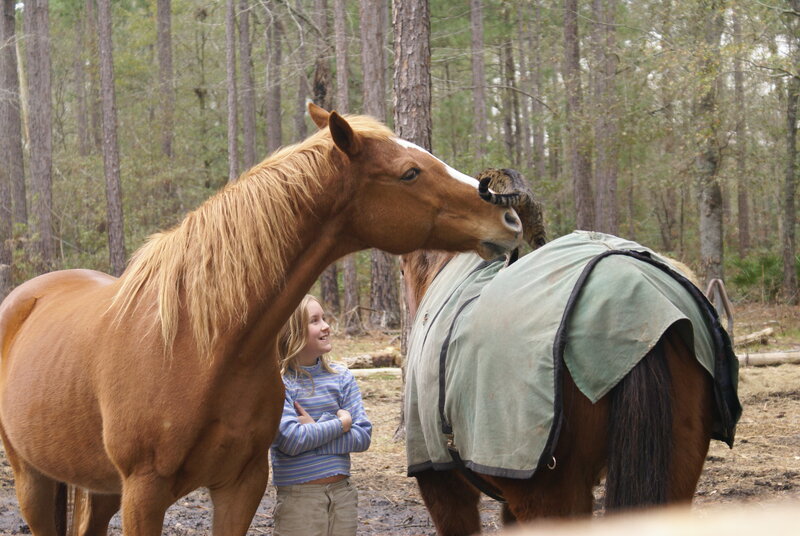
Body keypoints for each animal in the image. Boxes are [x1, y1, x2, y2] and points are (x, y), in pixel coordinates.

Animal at [0, 104, 523, 536]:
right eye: (409, 172)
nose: (510, 220)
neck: (198, 348)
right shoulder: (143, 494)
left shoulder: (241, 485)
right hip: (33, 480)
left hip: (98, 487)